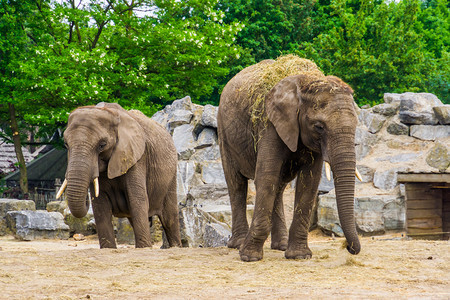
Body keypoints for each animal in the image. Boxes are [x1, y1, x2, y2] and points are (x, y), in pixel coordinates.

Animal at [57, 102, 181, 248]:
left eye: (102, 145)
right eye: (66, 144)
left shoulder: (137, 157)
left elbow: (137, 199)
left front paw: (144, 248)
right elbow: (100, 204)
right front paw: (108, 248)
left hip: (171, 175)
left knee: (169, 218)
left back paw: (175, 246)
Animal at [218, 57, 362, 262]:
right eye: (319, 127)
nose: (349, 248)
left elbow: (309, 183)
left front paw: (299, 256)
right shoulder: (270, 125)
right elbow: (266, 177)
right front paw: (249, 257)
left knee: (278, 186)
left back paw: (281, 246)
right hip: (224, 132)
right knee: (236, 184)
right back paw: (238, 244)